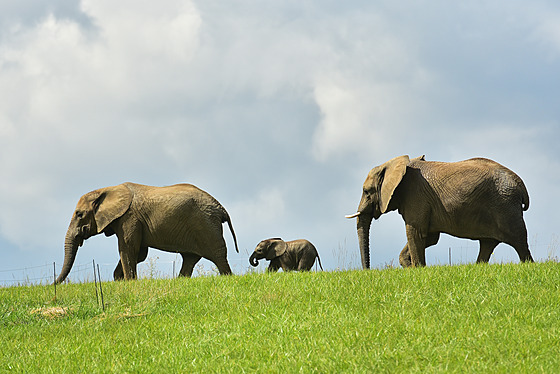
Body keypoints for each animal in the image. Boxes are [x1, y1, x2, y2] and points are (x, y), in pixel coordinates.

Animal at [55, 182, 240, 284]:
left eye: (79, 214)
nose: (53, 284)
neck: (108, 189)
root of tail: (220, 207)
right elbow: (139, 253)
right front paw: (119, 279)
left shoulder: (129, 218)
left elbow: (128, 249)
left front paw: (128, 282)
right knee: (190, 258)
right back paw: (180, 280)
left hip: (206, 224)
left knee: (218, 255)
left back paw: (228, 277)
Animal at [346, 156, 532, 268]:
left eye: (367, 192)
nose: (367, 271)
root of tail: (521, 186)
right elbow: (429, 237)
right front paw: (410, 266)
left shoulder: (415, 197)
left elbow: (415, 233)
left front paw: (417, 269)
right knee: (487, 244)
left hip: (505, 206)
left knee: (520, 243)